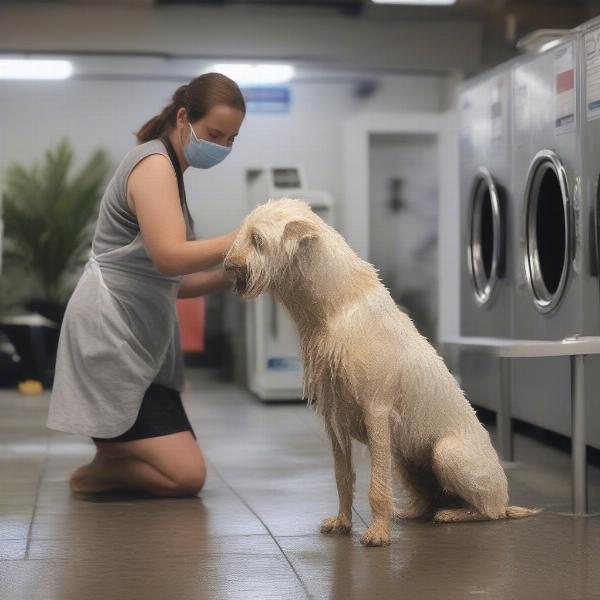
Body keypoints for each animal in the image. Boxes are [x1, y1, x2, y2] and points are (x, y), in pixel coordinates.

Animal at [223, 199, 536, 548]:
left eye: (258, 240)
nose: (227, 266)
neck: (337, 309)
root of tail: (506, 499)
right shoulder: (334, 419)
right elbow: (342, 476)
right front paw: (343, 522)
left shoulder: (376, 411)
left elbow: (376, 486)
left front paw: (378, 534)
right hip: (405, 458)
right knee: (429, 499)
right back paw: (415, 512)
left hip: (446, 453)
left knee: (489, 511)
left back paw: (455, 514)